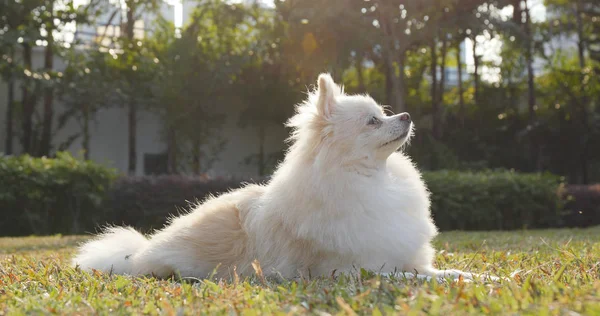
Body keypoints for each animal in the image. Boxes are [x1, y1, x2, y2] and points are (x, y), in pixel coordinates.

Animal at [72, 73, 492, 282]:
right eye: (373, 121)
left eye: (384, 112)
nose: (405, 116)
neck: (372, 181)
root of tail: (140, 252)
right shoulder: (360, 271)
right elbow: (420, 279)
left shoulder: (409, 260)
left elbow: (452, 273)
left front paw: (492, 279)